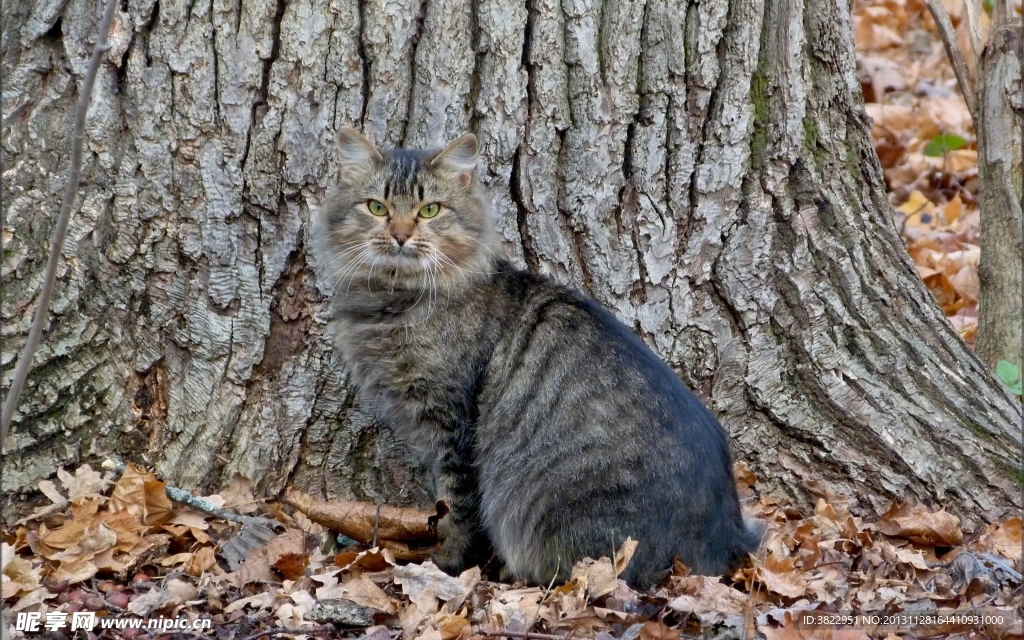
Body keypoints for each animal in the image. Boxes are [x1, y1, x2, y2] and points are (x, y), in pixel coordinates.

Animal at [315, 127, 765, 585]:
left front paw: (447, 564)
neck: (393, 301)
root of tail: (727, 538)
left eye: (429, 210)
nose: (401, 235)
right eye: (377, 207)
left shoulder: (455, 428)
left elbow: (459, 510)